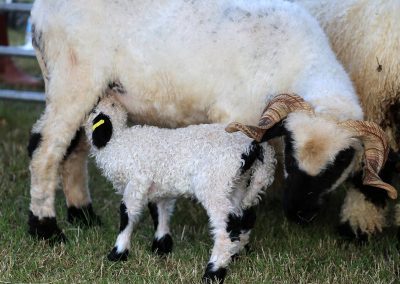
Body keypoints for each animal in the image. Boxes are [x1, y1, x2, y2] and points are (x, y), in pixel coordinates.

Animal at [84, 96, 276, 284]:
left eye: (94, 110)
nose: (102, 97)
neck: (117, 141)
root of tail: (252, 146)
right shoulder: (160, 186)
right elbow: (160, 212)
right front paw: (161, 247)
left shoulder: (137, 182)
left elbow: (127, 214)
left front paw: (117, 253)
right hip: (237, 184)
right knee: (244, 218)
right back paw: (234, 255)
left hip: (214, 184)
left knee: (226, 228)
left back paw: (213, 272)